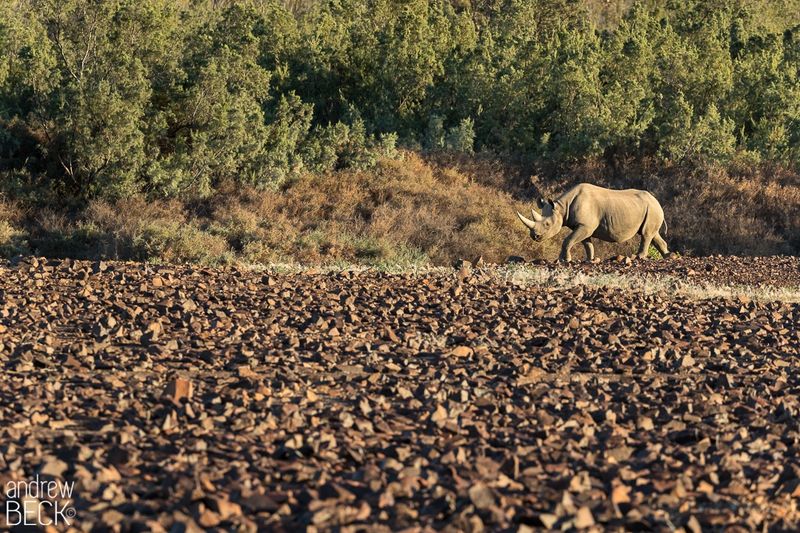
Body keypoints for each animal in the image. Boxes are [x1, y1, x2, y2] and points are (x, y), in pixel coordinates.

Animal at [516, 183, 671, 262]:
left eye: (547, 225)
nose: (534, 236)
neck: (562, 207)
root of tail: (657, 201)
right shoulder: (584, 226)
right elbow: (587, 244)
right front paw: (590, 260)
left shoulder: (585, 226)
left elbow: (568, 240)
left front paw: (564, 260)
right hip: (650, 208)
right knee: (653, 234)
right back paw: (668, 256)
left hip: (652, 208)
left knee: (646, 234)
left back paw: (638, 257)